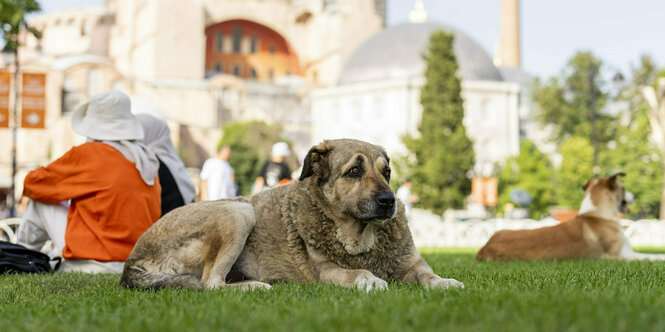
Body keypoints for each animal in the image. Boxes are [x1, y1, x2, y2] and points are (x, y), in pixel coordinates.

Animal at [118, 139, 462, 292]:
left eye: (386, 173)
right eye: (354, 171)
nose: (389, 201)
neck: (360, 238)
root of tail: (132, 261)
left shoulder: (413, 266)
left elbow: (428, 276)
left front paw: (444, 281)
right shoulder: (328, 273)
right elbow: (358, 273)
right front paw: (369, 279)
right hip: (238, 210)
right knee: (210, 284)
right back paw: (253, 287)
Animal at [474, 171, 664, 262]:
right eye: (624, 188)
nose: (634, 196)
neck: (597, 213)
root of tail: (484, 248)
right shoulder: (622, 256)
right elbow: (653, 256)